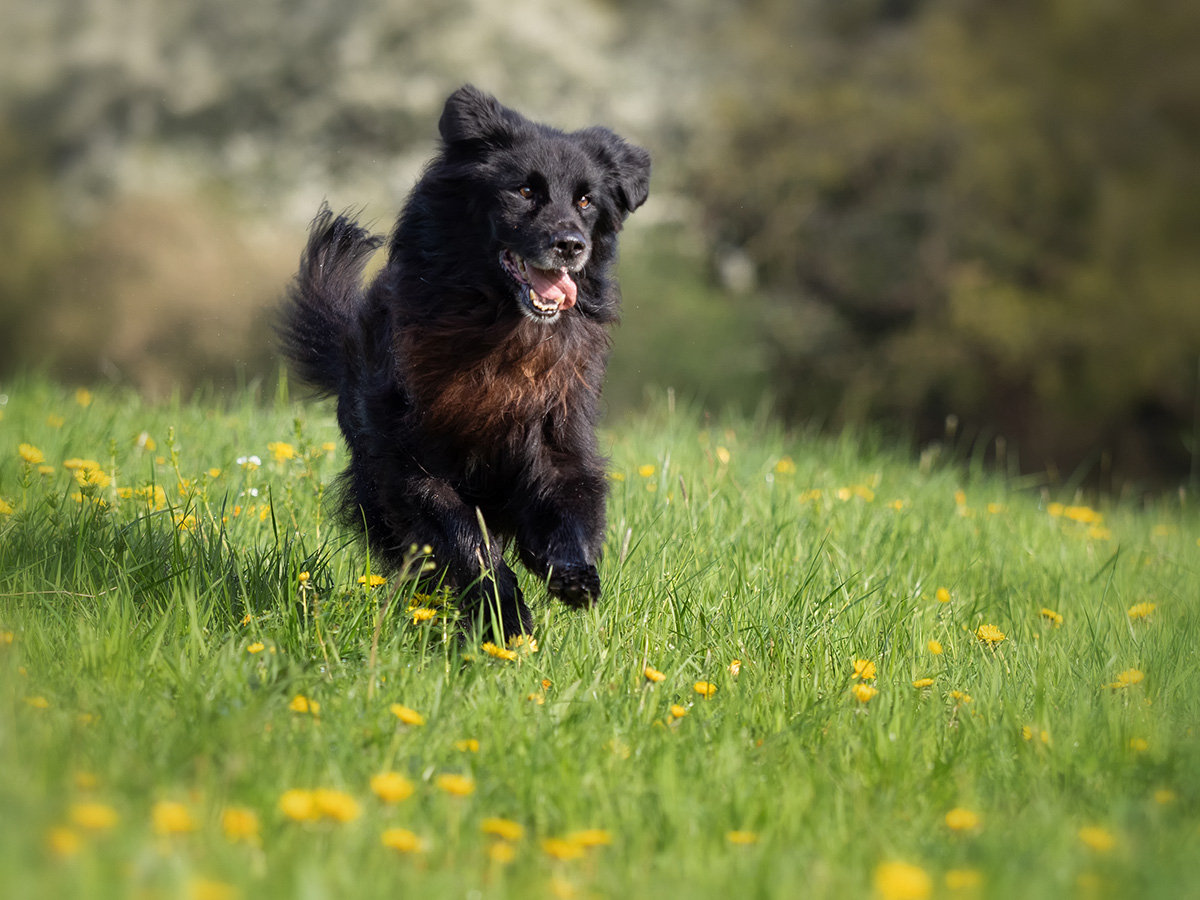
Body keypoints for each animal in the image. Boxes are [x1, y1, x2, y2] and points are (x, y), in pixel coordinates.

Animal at [279, 82, 652, 633]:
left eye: (586, 201)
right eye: (524, 192)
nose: (571, 245)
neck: (499, 332)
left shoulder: (556, 437)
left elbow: (570, 506)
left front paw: (571, 574)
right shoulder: (412, 465)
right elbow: (465, 540)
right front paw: (506, 612)